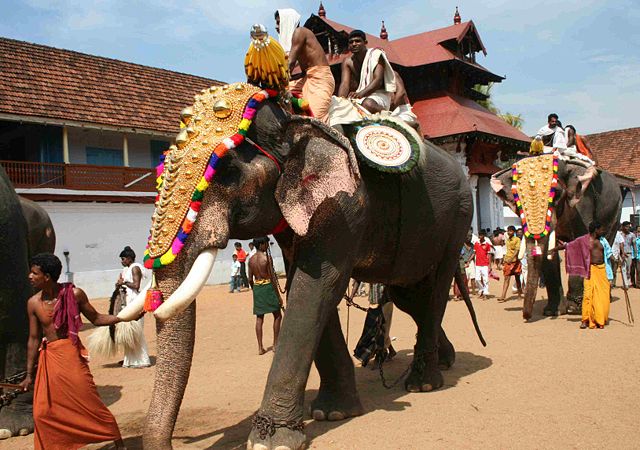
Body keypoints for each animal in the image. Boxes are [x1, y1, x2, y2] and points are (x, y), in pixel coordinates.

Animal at [117, 82, 482, 448]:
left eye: (230, 174)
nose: (176, 442)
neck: (292, 120)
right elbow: (302, 286)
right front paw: (333, 413)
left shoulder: (345, 206)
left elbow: (315, 288)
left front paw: (271, 440)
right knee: (411, 296)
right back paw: (445, 361)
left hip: (459, 218)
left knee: (434, 289)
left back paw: (424, 383)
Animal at [490, 155, 620, 320]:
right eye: (516, 197)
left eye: (556, 193)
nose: (526, 317)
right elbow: (548, 253)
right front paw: (553, 311)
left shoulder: (583, 203)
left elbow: (581, 242)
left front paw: (573, 309)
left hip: (615, 212)